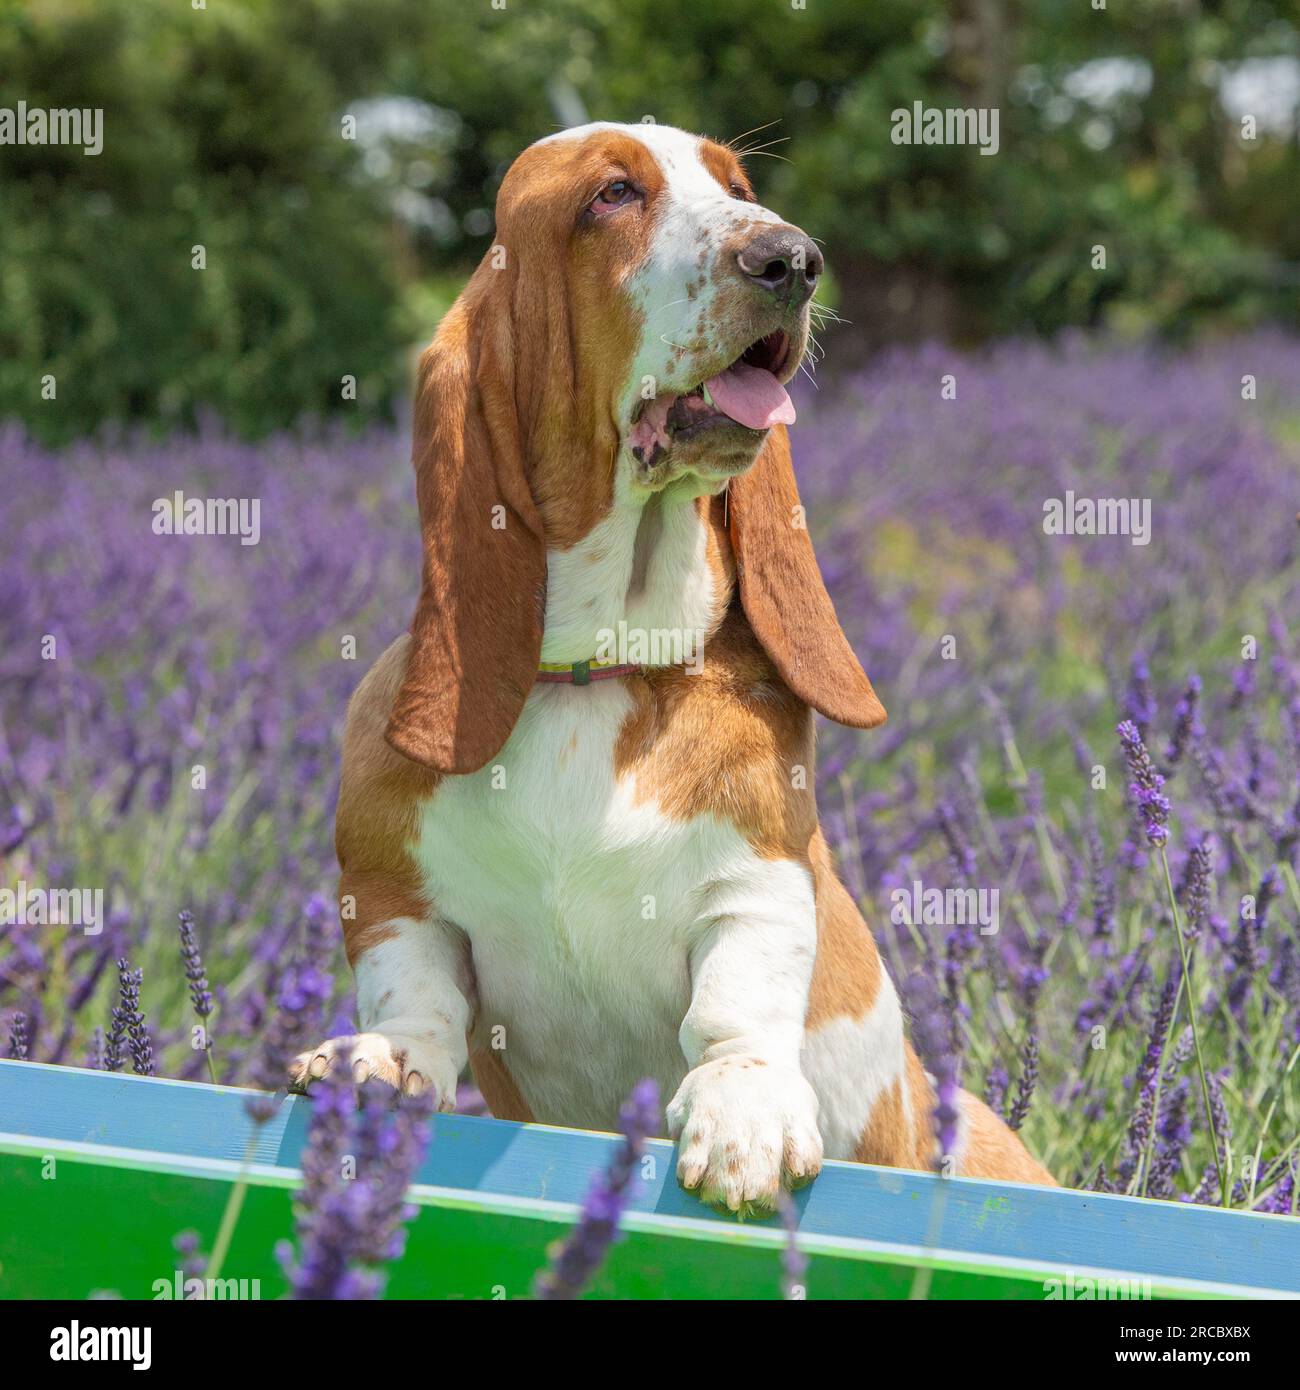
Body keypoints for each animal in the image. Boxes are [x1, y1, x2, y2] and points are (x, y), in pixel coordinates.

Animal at [294, 122, 1056, 1206]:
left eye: (738, 186)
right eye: (613, 195)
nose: (792, 260)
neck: (599, 670)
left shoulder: (759, 881)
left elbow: (736, 1001)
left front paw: (744, 1112)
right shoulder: (390, 888)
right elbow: (417, 993)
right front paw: (379, 1061)